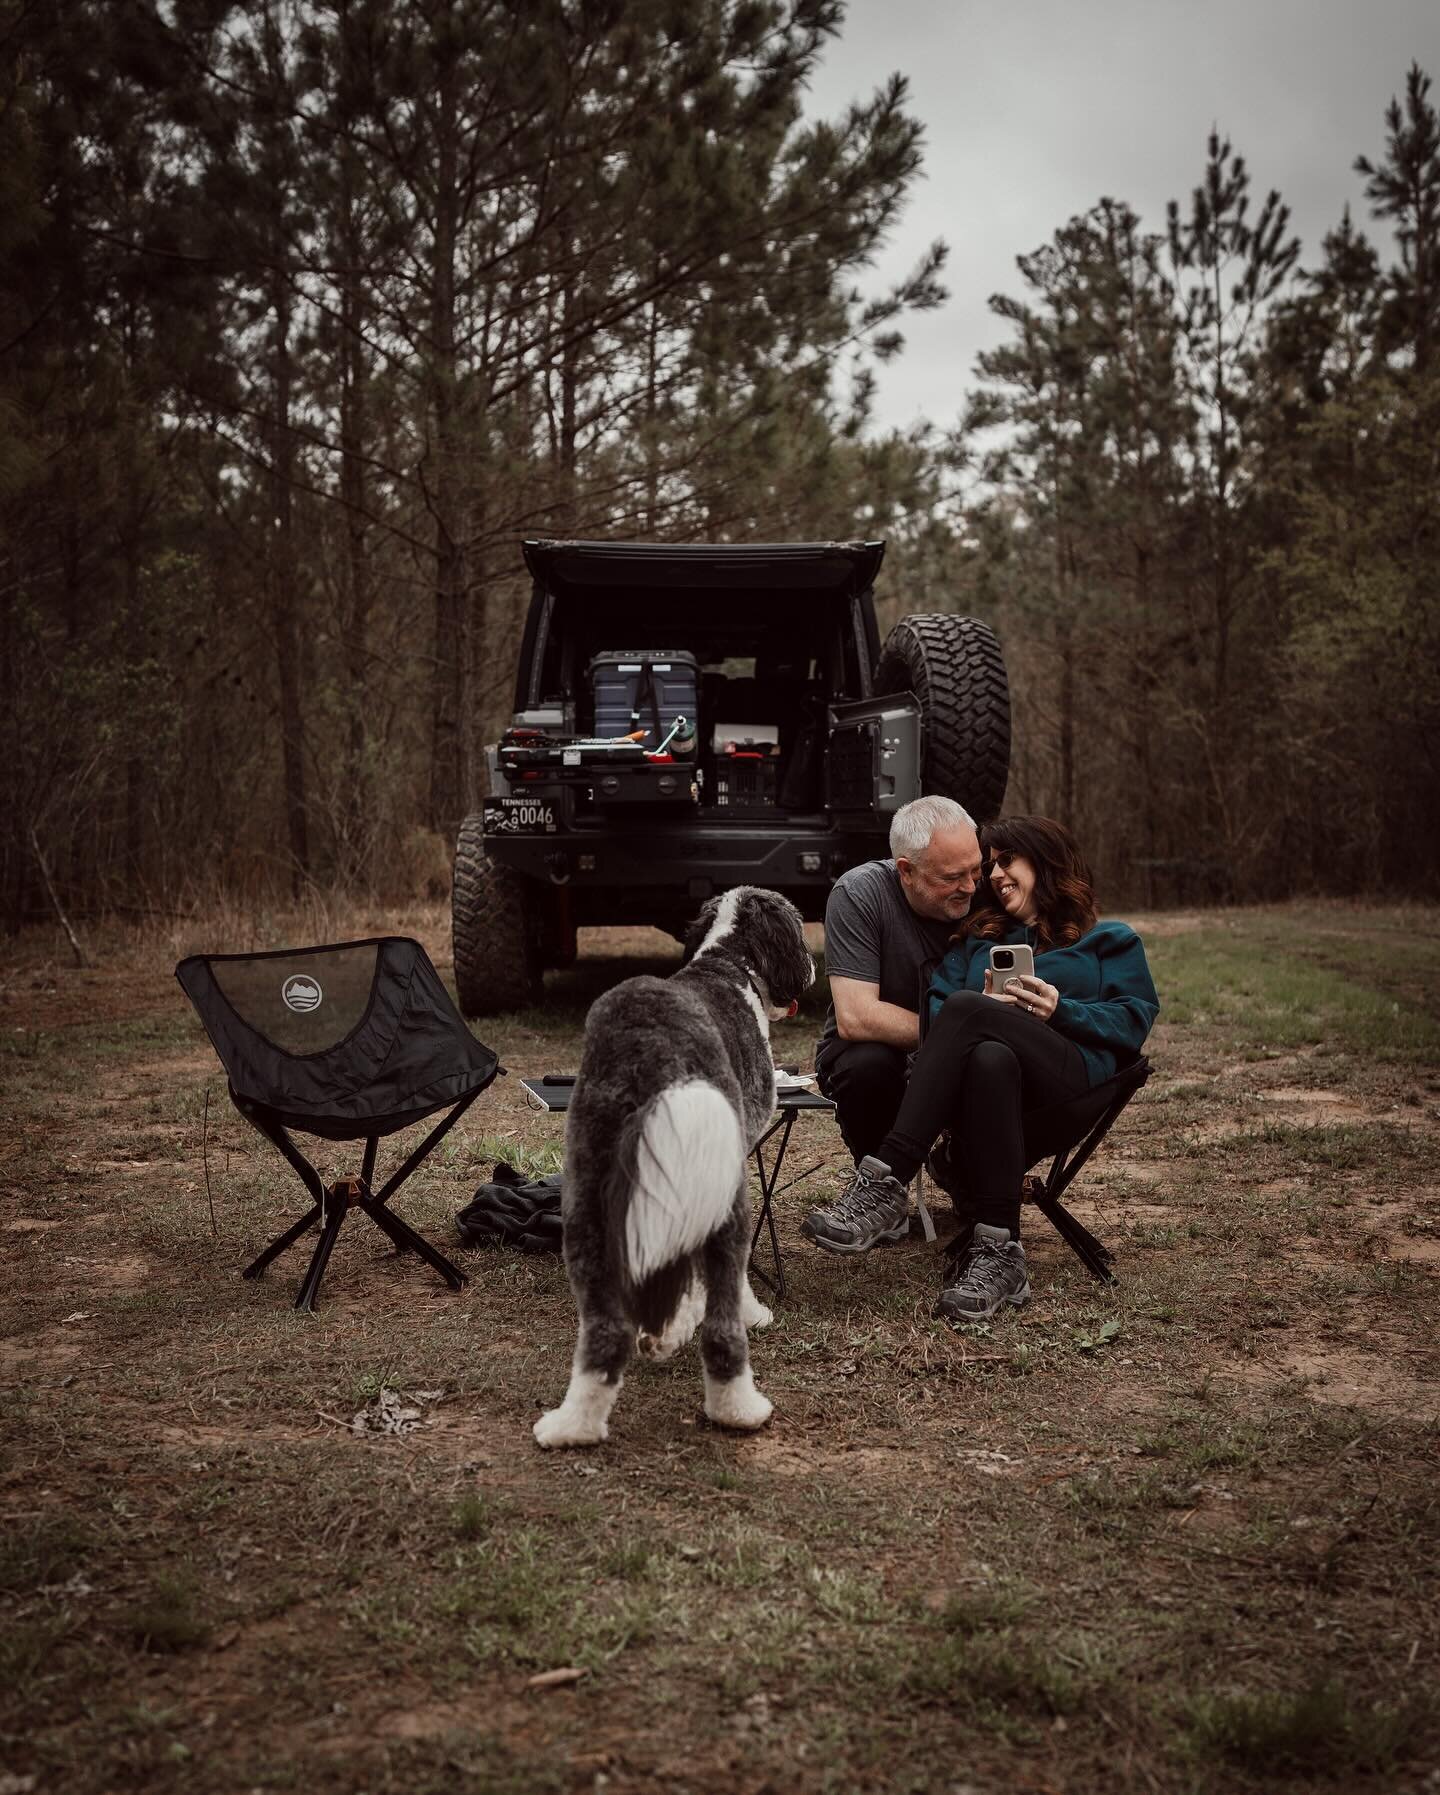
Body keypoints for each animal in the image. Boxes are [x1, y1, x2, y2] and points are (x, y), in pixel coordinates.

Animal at [531, 890, 815, 1450]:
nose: (813, 969)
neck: (730, 963)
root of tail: (649, 1050)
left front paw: (668, 1329)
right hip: (723, 1194)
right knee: (723, 1326)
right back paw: (740, 1408)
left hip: (586, 1205)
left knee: (604, 1333)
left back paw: (572, 1426)